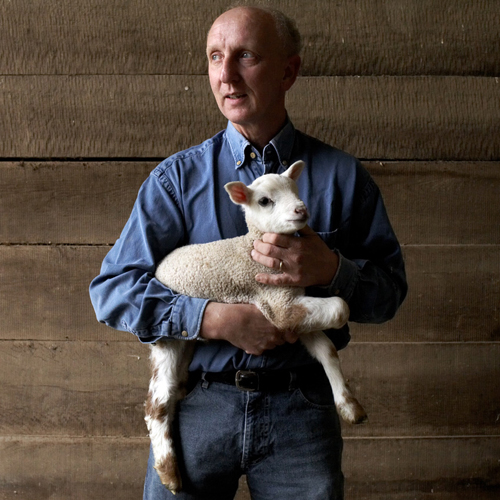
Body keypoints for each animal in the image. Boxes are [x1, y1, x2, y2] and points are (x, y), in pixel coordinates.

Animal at [145, 161, 368, 492]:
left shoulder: (292, 304)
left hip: (185, 341)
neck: (254, 245)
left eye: (295, 189)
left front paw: (349, 406)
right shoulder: (279, 305)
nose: (301, 209)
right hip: (166, 335)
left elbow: (326, 350)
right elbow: (341, 307)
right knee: (157, 401)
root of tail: (162, 265)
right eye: (264, 201)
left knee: (174, 389)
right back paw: (169, 472)